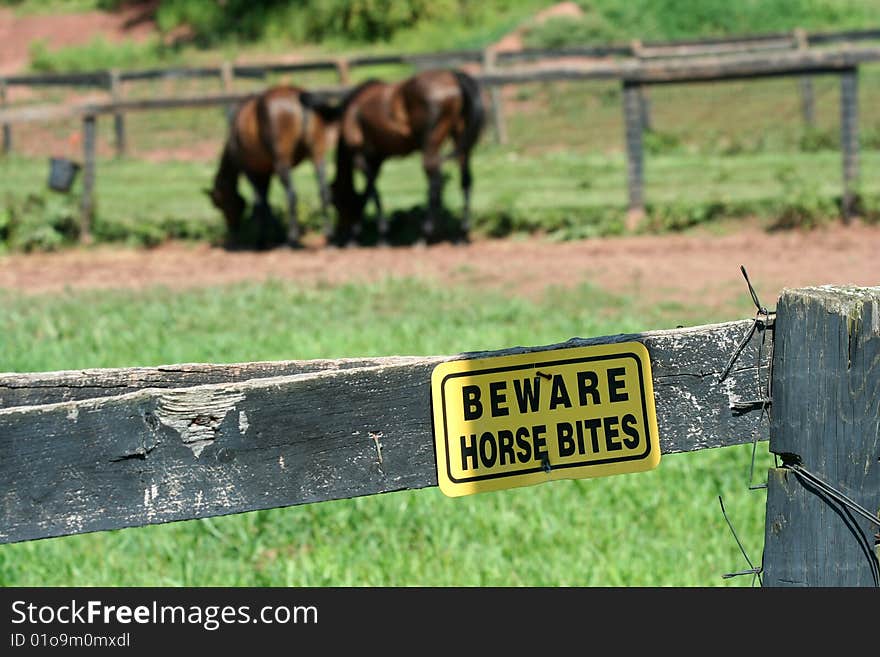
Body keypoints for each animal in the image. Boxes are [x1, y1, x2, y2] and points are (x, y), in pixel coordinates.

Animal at [210, 84, 340, 249]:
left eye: (220, 204)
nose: (232, 230)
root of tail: (297, 94)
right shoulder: (266, 172)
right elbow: (264, 203)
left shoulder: (252, 172)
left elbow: (260, 203)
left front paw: (263, 239)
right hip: (317, 156)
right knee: (324, 192)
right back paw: (329, 236)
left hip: (282, 163)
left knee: (291, 195)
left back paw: (292, 240)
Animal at [330, 68, 484, 246]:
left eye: (336, 202)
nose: (340, 234)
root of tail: (453, 76)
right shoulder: (377, 159)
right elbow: (369, 190)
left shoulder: (359, 156)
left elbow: (372, 191)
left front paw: (370, 235)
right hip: (460, 140)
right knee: (466, 181)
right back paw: (461, 234)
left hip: (430, 145)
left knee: (435, 185)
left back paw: (425, 235)